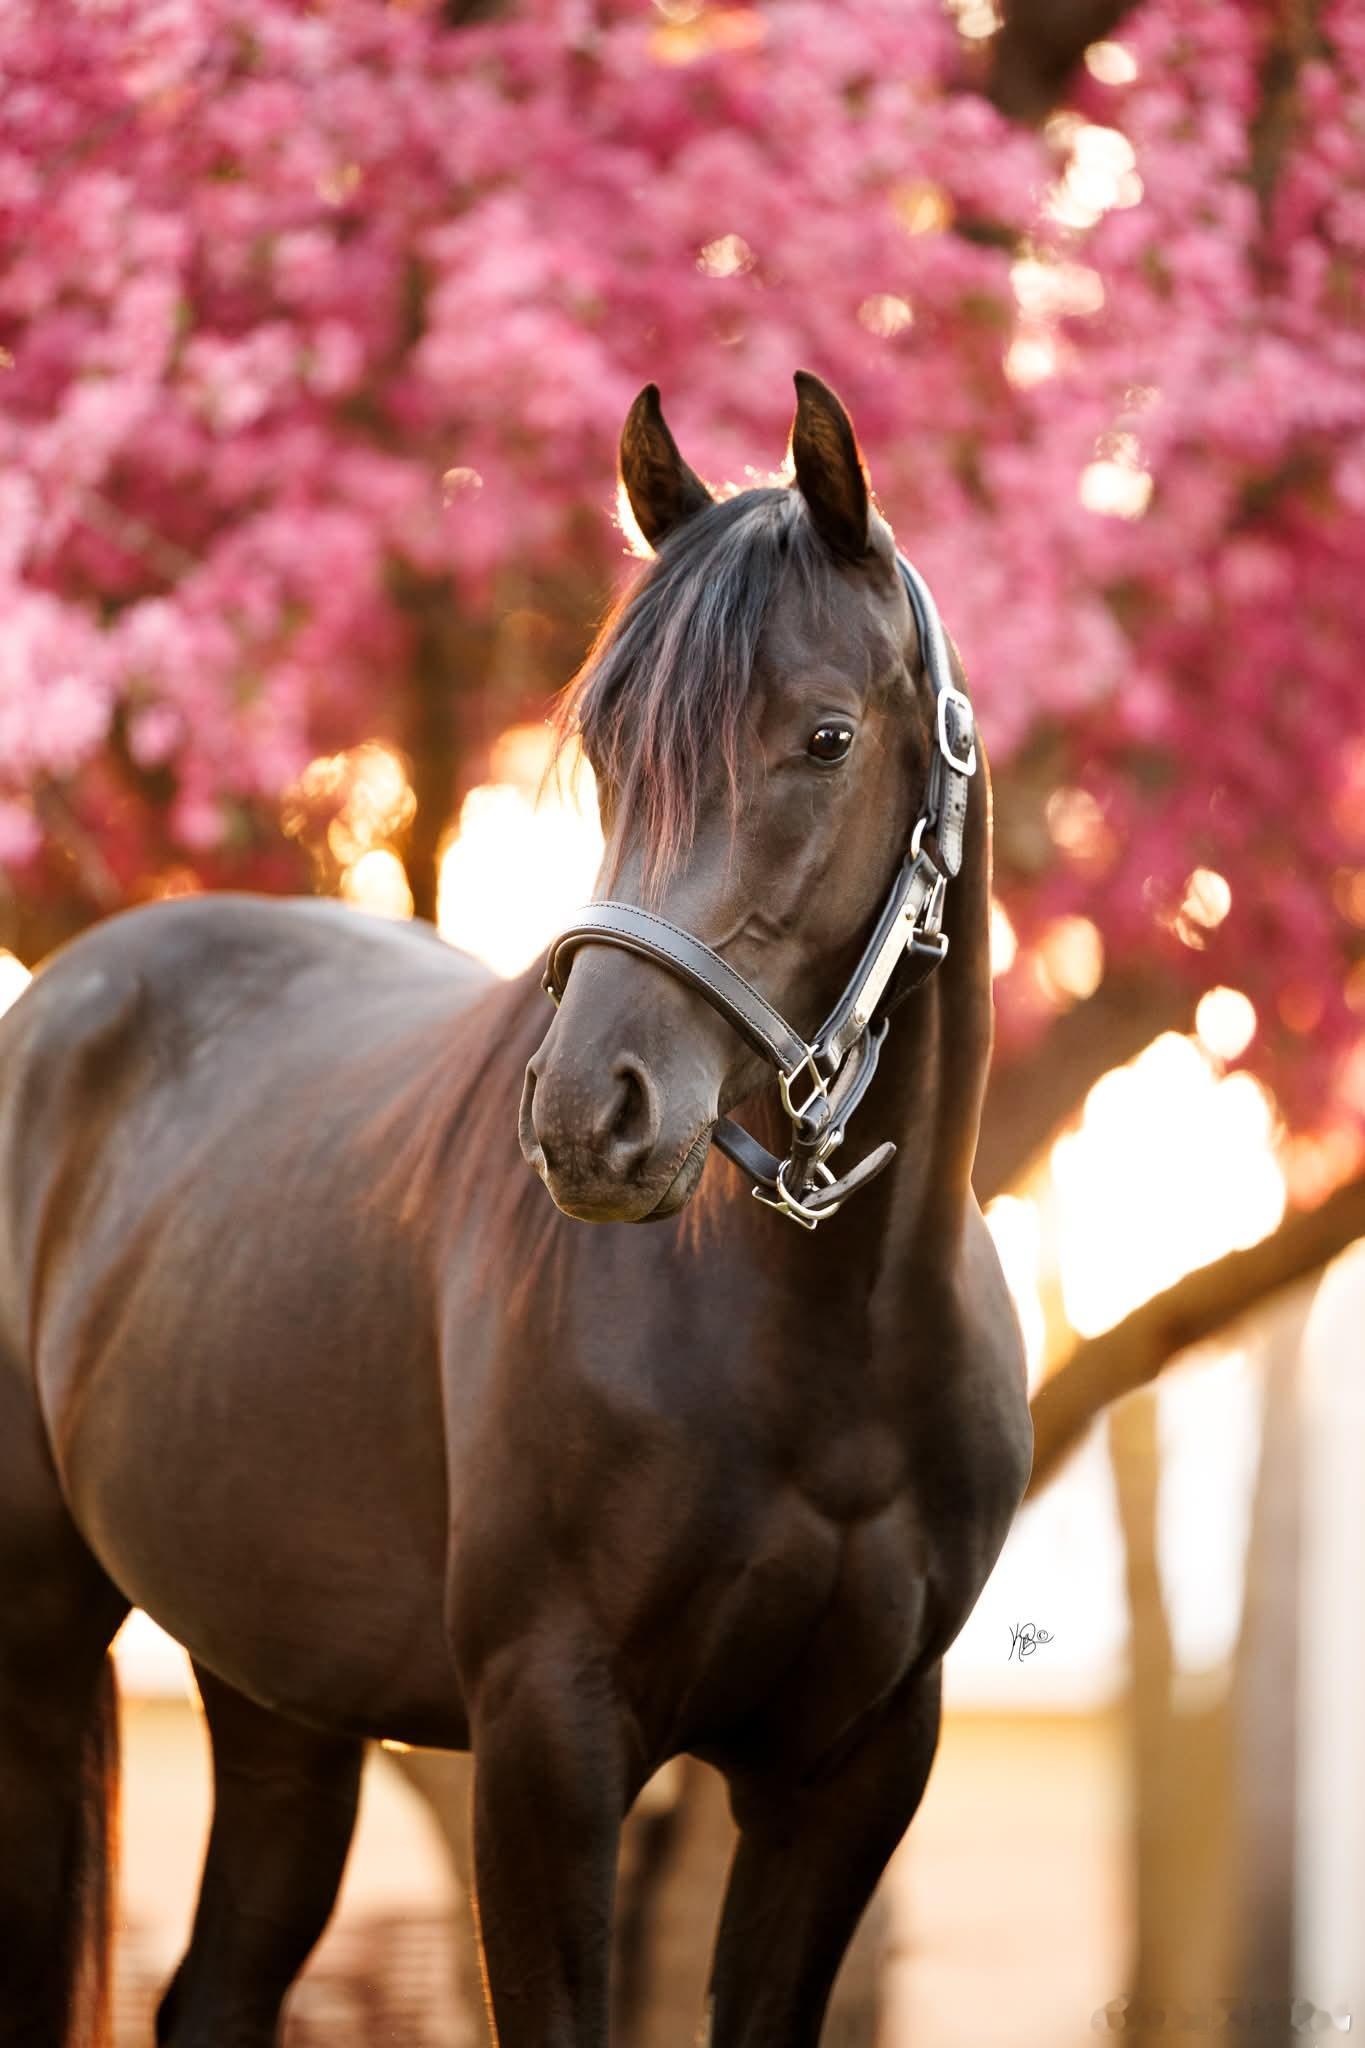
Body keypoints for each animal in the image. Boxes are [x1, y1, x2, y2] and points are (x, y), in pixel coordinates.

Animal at [0, 370, 1030, 2048]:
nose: (587, 1121)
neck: (827, 1349)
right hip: (35, 1650)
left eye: (825, 737)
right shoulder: (551, 1742)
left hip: (278, 1692)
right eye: (606, 746)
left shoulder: (853, 1771)